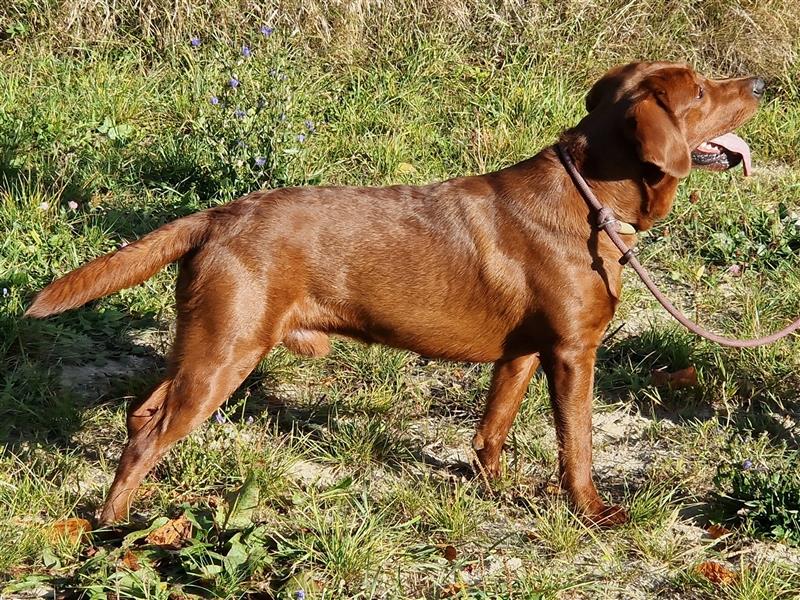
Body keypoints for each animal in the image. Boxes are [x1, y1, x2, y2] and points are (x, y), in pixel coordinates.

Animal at [25, 61, 764, 524]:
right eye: (701, 91)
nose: (762, 81)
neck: (593, 199)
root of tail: (218, 214)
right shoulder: (574, 352)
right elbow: (577, 446)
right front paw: (592, 512)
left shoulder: (524, 351)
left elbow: (492, 429)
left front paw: (494, 489)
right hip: (226, 351)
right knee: (150, 433)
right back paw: (112, 528)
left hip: (206, 342)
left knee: (141, 413)